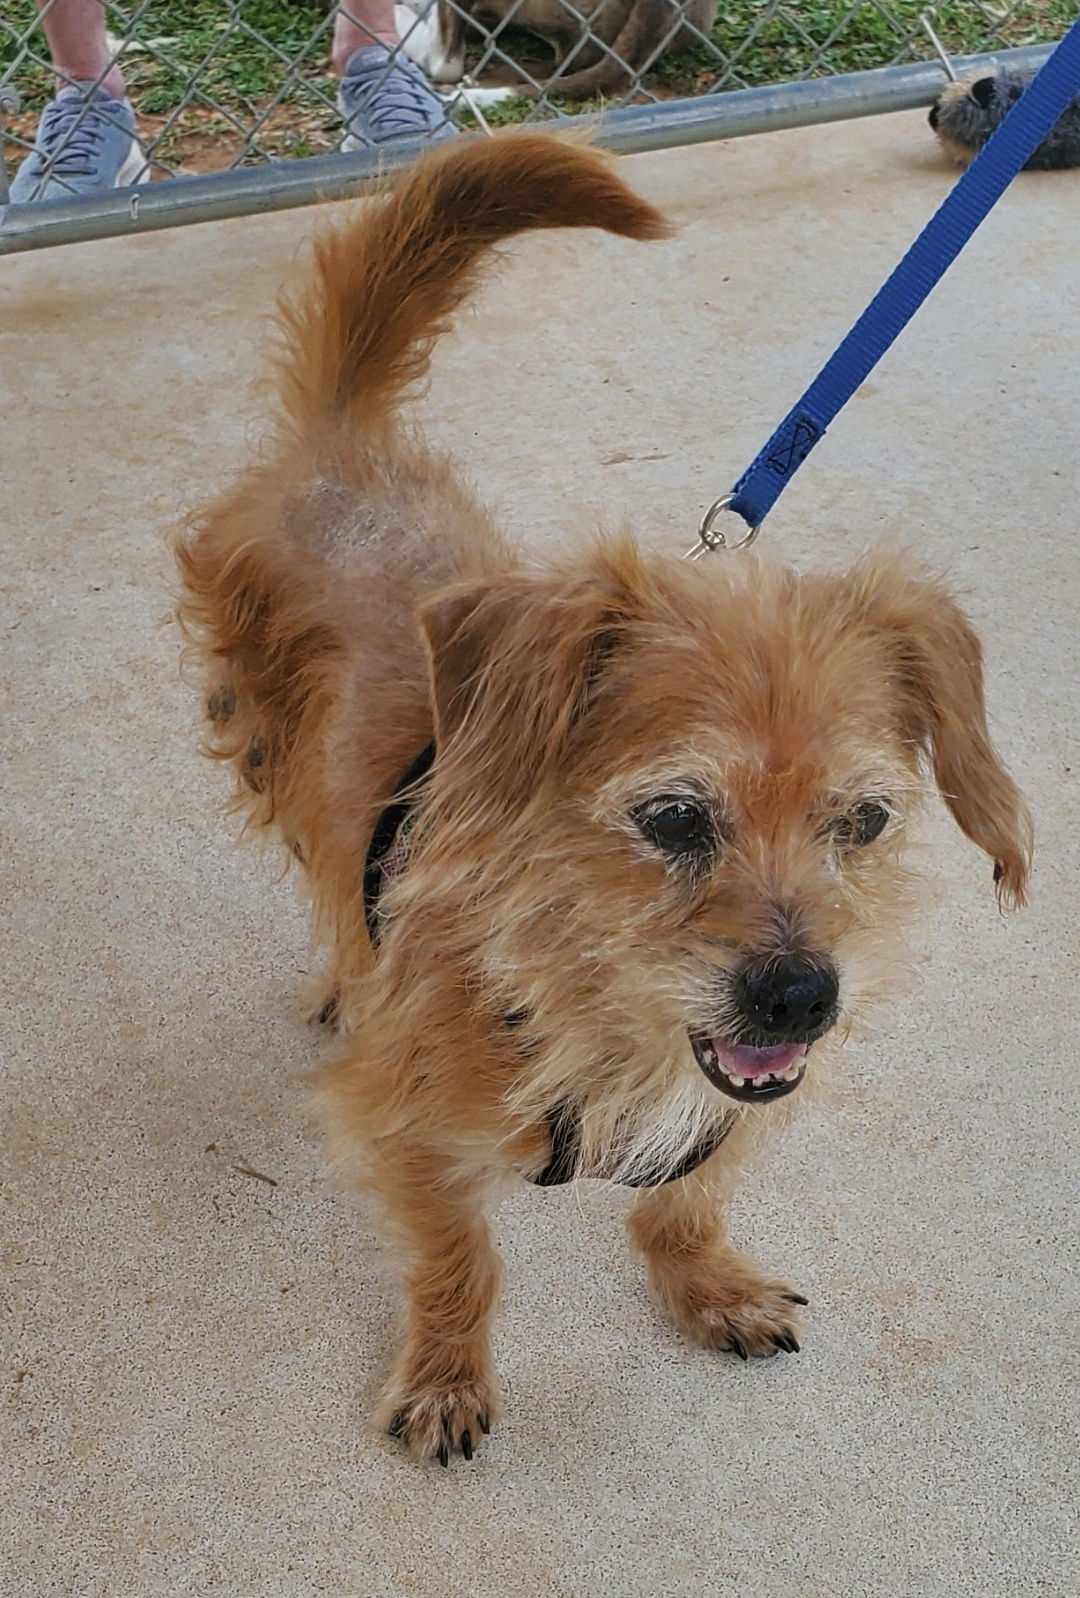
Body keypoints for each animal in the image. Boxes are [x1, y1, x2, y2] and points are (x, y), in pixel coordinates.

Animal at [174, 134, 1028, 1463]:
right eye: (673, 816)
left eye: (865, 819)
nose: (803, 997)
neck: (596, 1005)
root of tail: (343, 446)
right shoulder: (407, 1129)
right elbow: (460, 1257)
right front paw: (447, 1370)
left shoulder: (732, 1101)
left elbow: (686, 1197)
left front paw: (704, 1280)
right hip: (268, 750)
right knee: (317, 865)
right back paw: (339, 974)